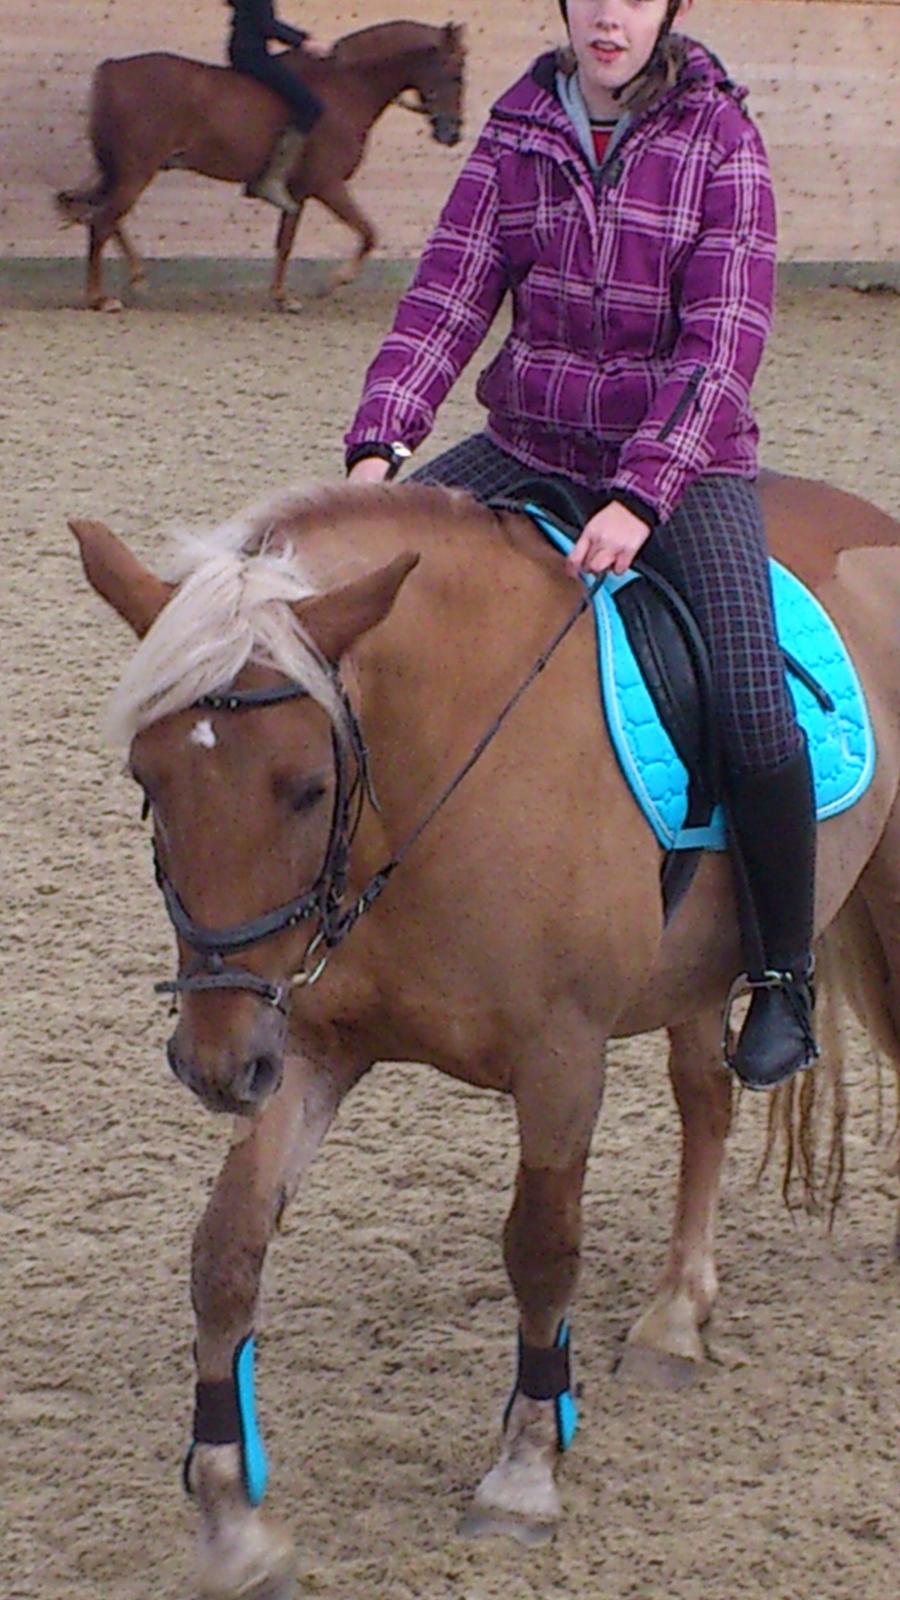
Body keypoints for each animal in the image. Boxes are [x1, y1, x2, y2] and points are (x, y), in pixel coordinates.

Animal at [55, 20, 465, 313]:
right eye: (455, 73)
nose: (453, 132)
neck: (346, 86)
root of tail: (111, 68)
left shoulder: (297, 192)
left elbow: (285, 243)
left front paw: (282, 297)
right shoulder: (328, 184)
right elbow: (368, 232)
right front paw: (333, 282)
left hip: (127, 171)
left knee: (103, 216)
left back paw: (137, 279)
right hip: (136, 171)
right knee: (102, 221)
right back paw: (100, 298)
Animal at [71, 471, 900, 1598]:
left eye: (308, 787)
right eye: (147, 782)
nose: (212, 1066)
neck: (427, 788)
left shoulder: (562, 1059)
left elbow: (542, 1249)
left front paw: (523, 1475)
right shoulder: (308, 1047)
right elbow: (225, 1248)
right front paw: (232, 1517)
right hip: (692, 970)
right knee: (707, 1102)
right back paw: (676, 1316)